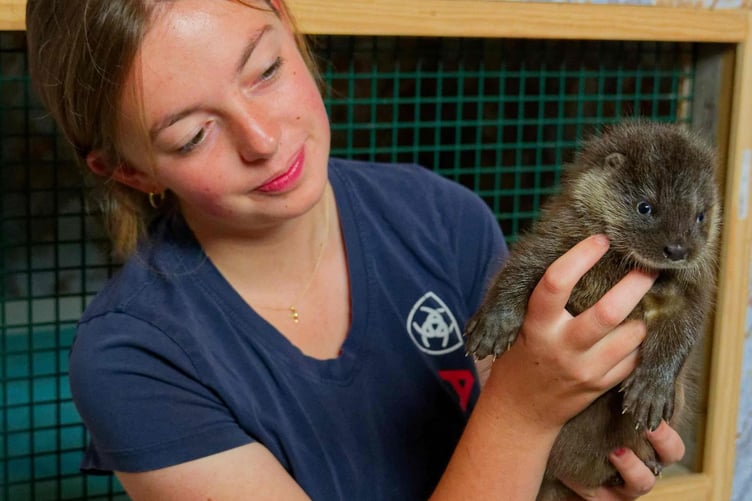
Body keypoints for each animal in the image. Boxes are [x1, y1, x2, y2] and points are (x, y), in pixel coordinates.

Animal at [465, 120, 720, 501]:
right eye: (646, 207)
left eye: (700, 215)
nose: (677, 249)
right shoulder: (557, 238)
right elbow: (520, 266)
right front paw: (493, 327)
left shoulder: (689, 292)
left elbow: (683, 333)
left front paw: (653, 390)